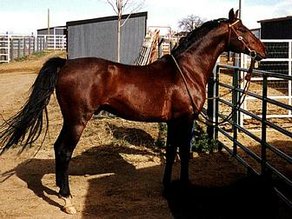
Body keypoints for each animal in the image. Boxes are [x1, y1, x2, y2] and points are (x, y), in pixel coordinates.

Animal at [0, 9, 266, 214]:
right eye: (243, 30)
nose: (262, 51)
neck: (187, 71)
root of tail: (66, 63)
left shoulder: (173, 121)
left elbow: (171, 151)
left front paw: (167, 185)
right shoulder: (185, 119)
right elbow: (183, 152)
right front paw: (184, 186)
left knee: (58, 149)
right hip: (77, 120)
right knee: (64, 151)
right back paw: (67, 200)